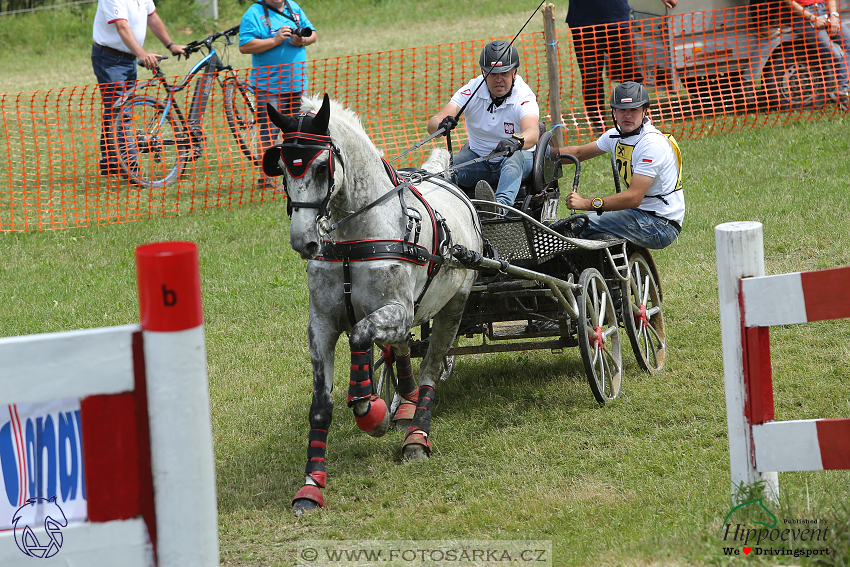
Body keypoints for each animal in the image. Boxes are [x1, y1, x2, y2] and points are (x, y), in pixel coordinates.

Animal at [262, 94, 480, 516]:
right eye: (280, 166)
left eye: (320, 166)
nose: (303, 241)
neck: (355, 238)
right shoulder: (321, 326)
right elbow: (321, 406)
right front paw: (311, 486)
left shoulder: (397, 312)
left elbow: (361, 338)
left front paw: (371, 412)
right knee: (401, 351)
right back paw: (405, 402)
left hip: (453, 305)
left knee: (430, 367)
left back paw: (417, 435)